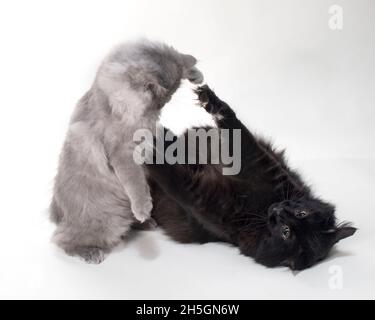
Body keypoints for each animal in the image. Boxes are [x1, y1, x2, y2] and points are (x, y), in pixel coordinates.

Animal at [50, 39, 203, 262]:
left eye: (168, 99)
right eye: (160, 98)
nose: (160, 107)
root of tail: (61, 214)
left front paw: (195, 73)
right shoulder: (122, 152)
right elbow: (136, 184)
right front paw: (143, 208)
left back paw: (148, 223)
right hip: (106, 222)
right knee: (63, 240)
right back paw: (91, 252)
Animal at [146, 84, 356, 270]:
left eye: (286, 232)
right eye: (301, 213)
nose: (279, 211)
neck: (261, 207)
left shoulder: (204, 200)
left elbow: (170, 174)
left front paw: (147, 148)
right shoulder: (266, 167)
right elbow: (238, 132)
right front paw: (209, 99)